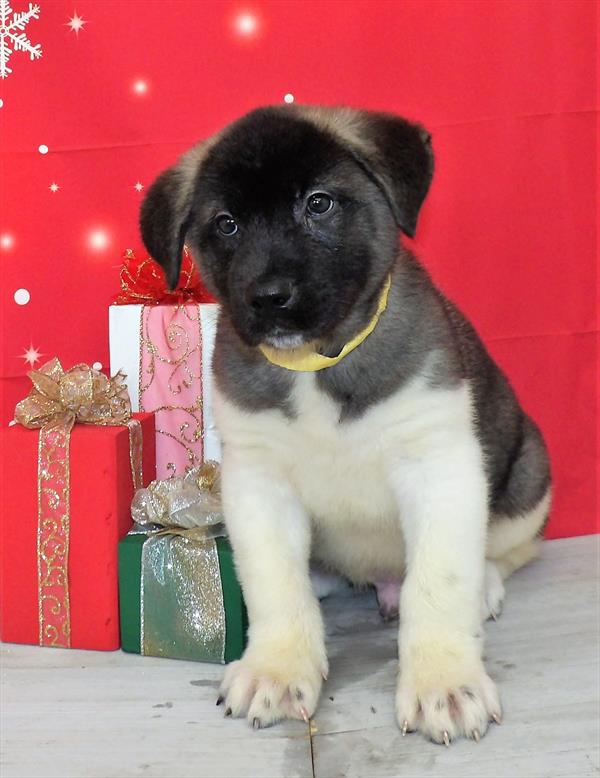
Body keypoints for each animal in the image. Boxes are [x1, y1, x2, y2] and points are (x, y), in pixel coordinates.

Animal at [138, 103, 552, 740]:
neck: (318, 364)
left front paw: (443, 680)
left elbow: (438, 582)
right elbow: (274, 584)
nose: (269, 297)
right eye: (227, 224)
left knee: (510, 547)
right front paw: (278, 667)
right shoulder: (258, 483)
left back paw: (483, 582)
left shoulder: (440, 466)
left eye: (319, 203)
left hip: (528, 471)